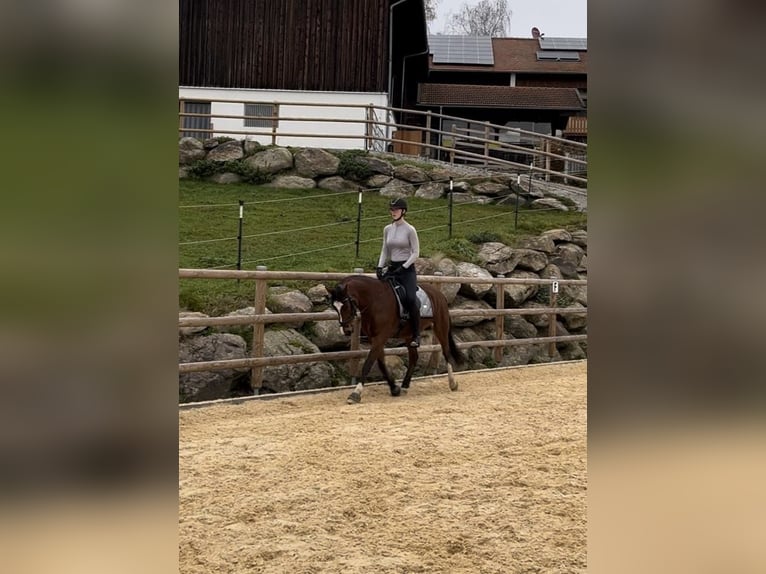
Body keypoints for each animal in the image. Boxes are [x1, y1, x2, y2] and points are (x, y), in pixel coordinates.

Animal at [332, 276, 468, 404]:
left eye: (346, 304)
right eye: (335, 307)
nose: (346, 330)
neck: (375, 300)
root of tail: (439, 294)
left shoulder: (381, 337)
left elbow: (368, 364)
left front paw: (355, 393)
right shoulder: (374, 338)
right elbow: (381, 363)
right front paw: (394, 388)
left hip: (441, 327)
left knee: (446, 352)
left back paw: (452, 383)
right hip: (409, 336)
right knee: (414, 358)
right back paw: (404, 386)